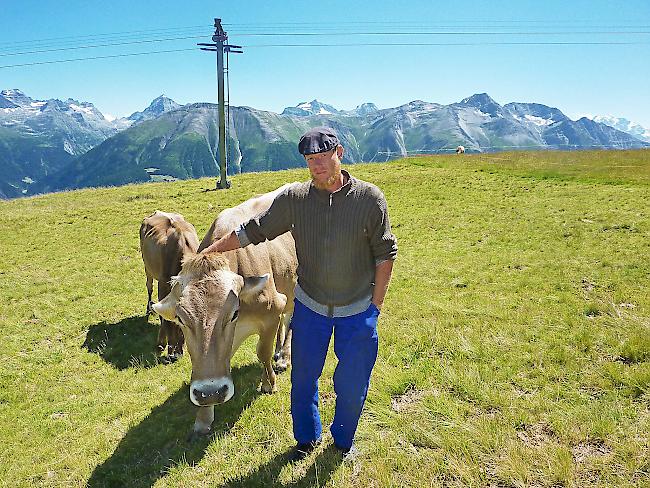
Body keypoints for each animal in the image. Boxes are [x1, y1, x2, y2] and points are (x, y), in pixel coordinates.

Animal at [141, 210, 200, 362]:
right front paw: (162, 344)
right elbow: (164, 318)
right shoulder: (163, 284)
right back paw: (149, 309)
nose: (176, 355)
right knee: (149, 287)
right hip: (147, 267)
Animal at [152, 186, 296, 434]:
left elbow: (263, 352)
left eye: (234, 313)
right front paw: (203, 418)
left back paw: (283, 357)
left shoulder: (272, 311)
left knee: (289, 321)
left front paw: (269, 384)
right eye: (180, 319)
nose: (211, 392)